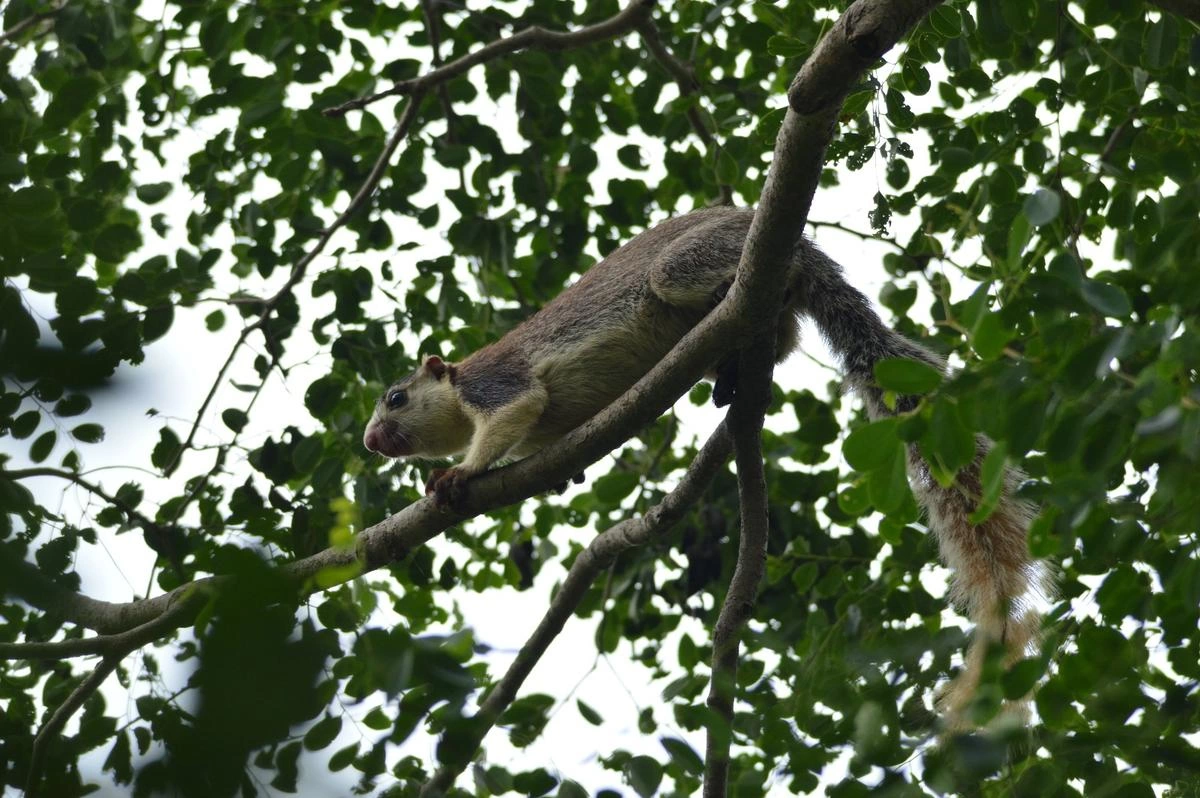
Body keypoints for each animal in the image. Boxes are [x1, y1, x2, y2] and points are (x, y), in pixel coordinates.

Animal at [362, 206, 1045, 725]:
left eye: (395, 397)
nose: (370, 439)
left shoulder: (498, 385)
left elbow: (510, 415)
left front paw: (457, 476)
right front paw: (561, 475)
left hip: (686, 265)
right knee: (787, 335)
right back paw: (730, 381)